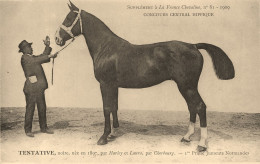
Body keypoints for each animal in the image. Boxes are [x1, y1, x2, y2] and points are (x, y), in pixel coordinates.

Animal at [55, 1, 236, 152]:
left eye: (69, 18)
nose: (57, 39)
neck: (106, 47)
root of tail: (193, 45)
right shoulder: (113, 86)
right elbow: (114, 106)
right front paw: (113, 133)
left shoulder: (105, 84)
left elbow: (106, 108)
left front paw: (103, 137)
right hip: (187, 86)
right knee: (192, 107)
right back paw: (186, 137)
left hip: (187, 86)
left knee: (199, 106)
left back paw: (202, 144)